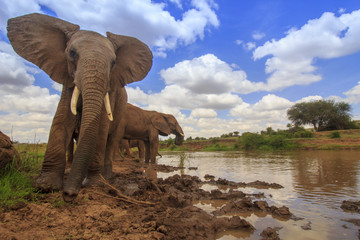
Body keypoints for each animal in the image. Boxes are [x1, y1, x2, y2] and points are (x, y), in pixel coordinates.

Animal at [6, 12, 152, 201]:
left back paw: (107, 177)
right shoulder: (67, 79)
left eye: (113, 63)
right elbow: (61, 119)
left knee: (111, 139)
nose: (69, 194)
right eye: (72, 53)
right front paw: (45, 186)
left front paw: (94, 184)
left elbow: (101, 127)